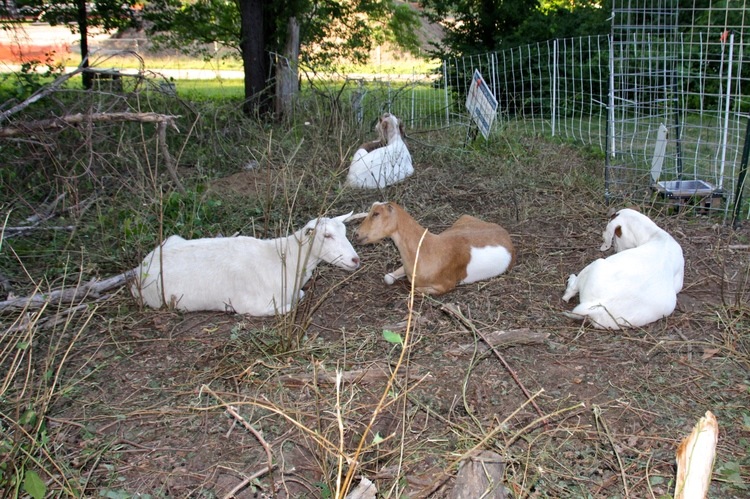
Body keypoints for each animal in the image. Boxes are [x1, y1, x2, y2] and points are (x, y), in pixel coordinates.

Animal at [131, 212, 362, 314]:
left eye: (345, 231)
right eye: (327, 236)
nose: (355, 259)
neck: (283, 259)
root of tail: (139, 270)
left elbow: (301, 295)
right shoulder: (251, 305)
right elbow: (289, 306)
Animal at [356, 203, 516, 296]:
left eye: (376, 214)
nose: (357, 234)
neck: (427, 249)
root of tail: (505, 233)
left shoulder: (445, 286)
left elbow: (414, 289)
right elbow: (388, 277)